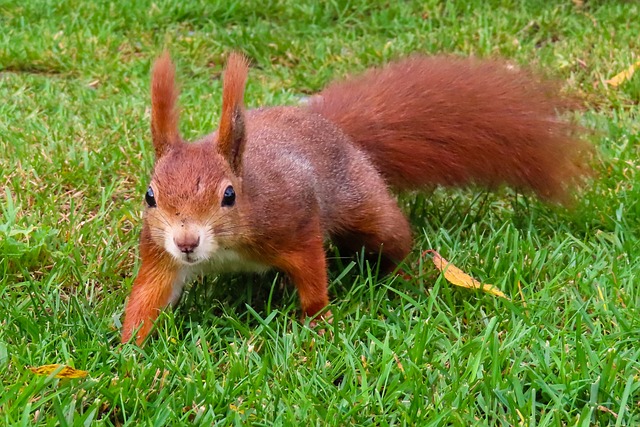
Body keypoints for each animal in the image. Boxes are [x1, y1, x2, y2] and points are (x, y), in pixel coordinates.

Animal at [120, 51, 592, 346]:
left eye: (229, 195)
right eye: (150, 196)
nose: (187, 242)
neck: (225, 249)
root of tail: (335, 129)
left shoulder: (294, 223)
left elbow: (312, 273)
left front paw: (317, 322)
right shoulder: (159, 252)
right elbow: (149, 294)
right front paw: (128, 348)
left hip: (367, 204)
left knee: (394, 238)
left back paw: (405, 274)